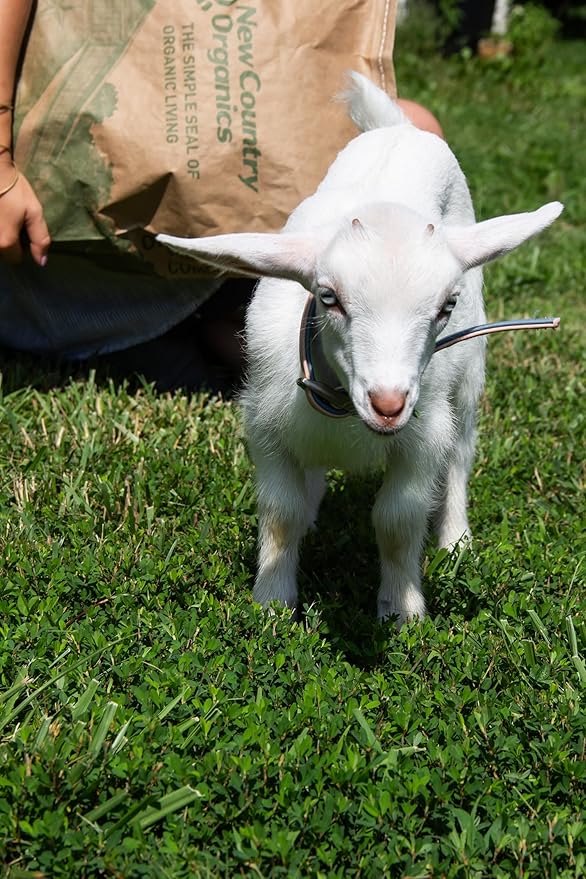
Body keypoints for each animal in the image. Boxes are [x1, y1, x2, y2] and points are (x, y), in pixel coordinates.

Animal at [158, 72, 562, 626]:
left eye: (447, 304)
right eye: (329, 297)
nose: (388, 404)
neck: (344, 411)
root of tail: (399, 129)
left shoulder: (422, 440)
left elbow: (397, 520)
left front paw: (403, 609)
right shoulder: (265, 426)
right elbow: (280, 513)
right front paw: (272, 601)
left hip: (467, 376)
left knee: (461, 453)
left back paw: (455, 539)